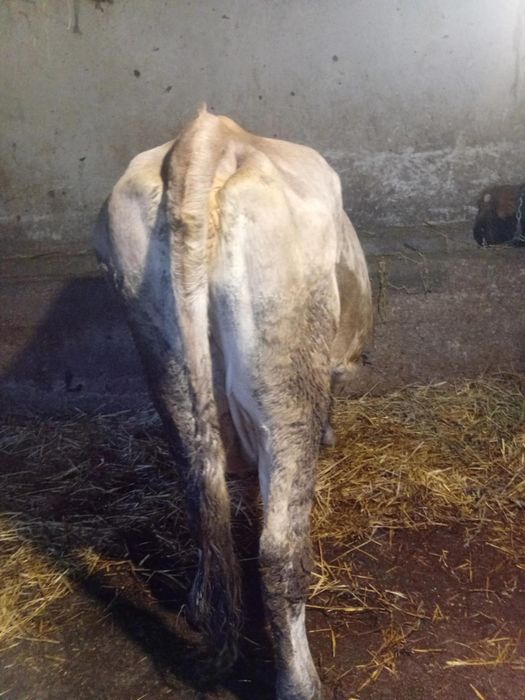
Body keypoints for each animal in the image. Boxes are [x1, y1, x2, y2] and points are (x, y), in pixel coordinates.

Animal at [94, 107, 372, 700]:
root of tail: (209, 137)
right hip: (287, 371)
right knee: (279, 551)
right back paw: (299, 682)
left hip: (166, 359)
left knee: (202, 497)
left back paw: (202, 604)